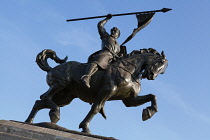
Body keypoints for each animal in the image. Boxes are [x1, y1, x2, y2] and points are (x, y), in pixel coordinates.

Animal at [25, 47, 168, 133]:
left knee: (40, 101)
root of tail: (52, 68)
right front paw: (85, 127)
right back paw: (55, 113)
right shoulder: (108, 90)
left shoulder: (129, 100)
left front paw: (148, 112)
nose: (151, 75)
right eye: (160, 62)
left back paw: (29, 121)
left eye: (163, 70)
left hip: (64, 96)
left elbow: (152, 96)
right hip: (60, 84)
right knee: (45, 98)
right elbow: (96, 107)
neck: (129, 71)